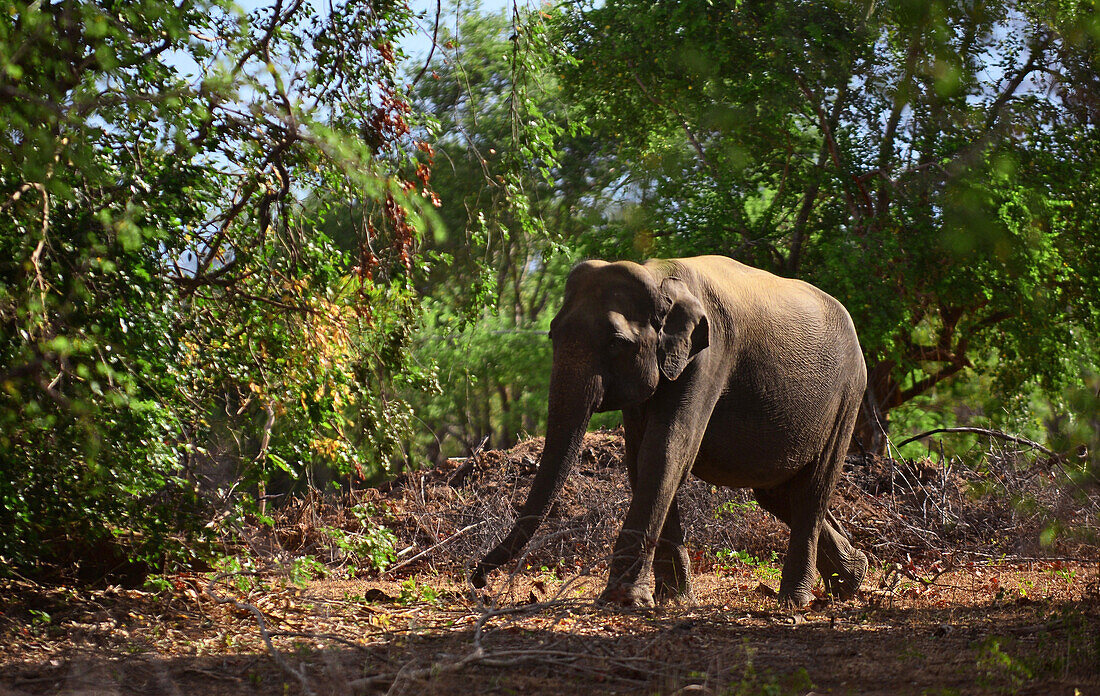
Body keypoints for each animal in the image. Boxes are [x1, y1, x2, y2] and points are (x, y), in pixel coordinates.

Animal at [470, 255, 866, 606]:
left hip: (847, 397)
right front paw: (673, 598)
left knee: (812, 490)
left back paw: (796, 600)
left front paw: (625, 600)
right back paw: (852, 578)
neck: (660, 276)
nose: (479, 580)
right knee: (776, 493)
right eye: (553, 334)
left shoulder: (709, 357)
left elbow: (667, 450)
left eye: (615, 343)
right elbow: (640, 457)